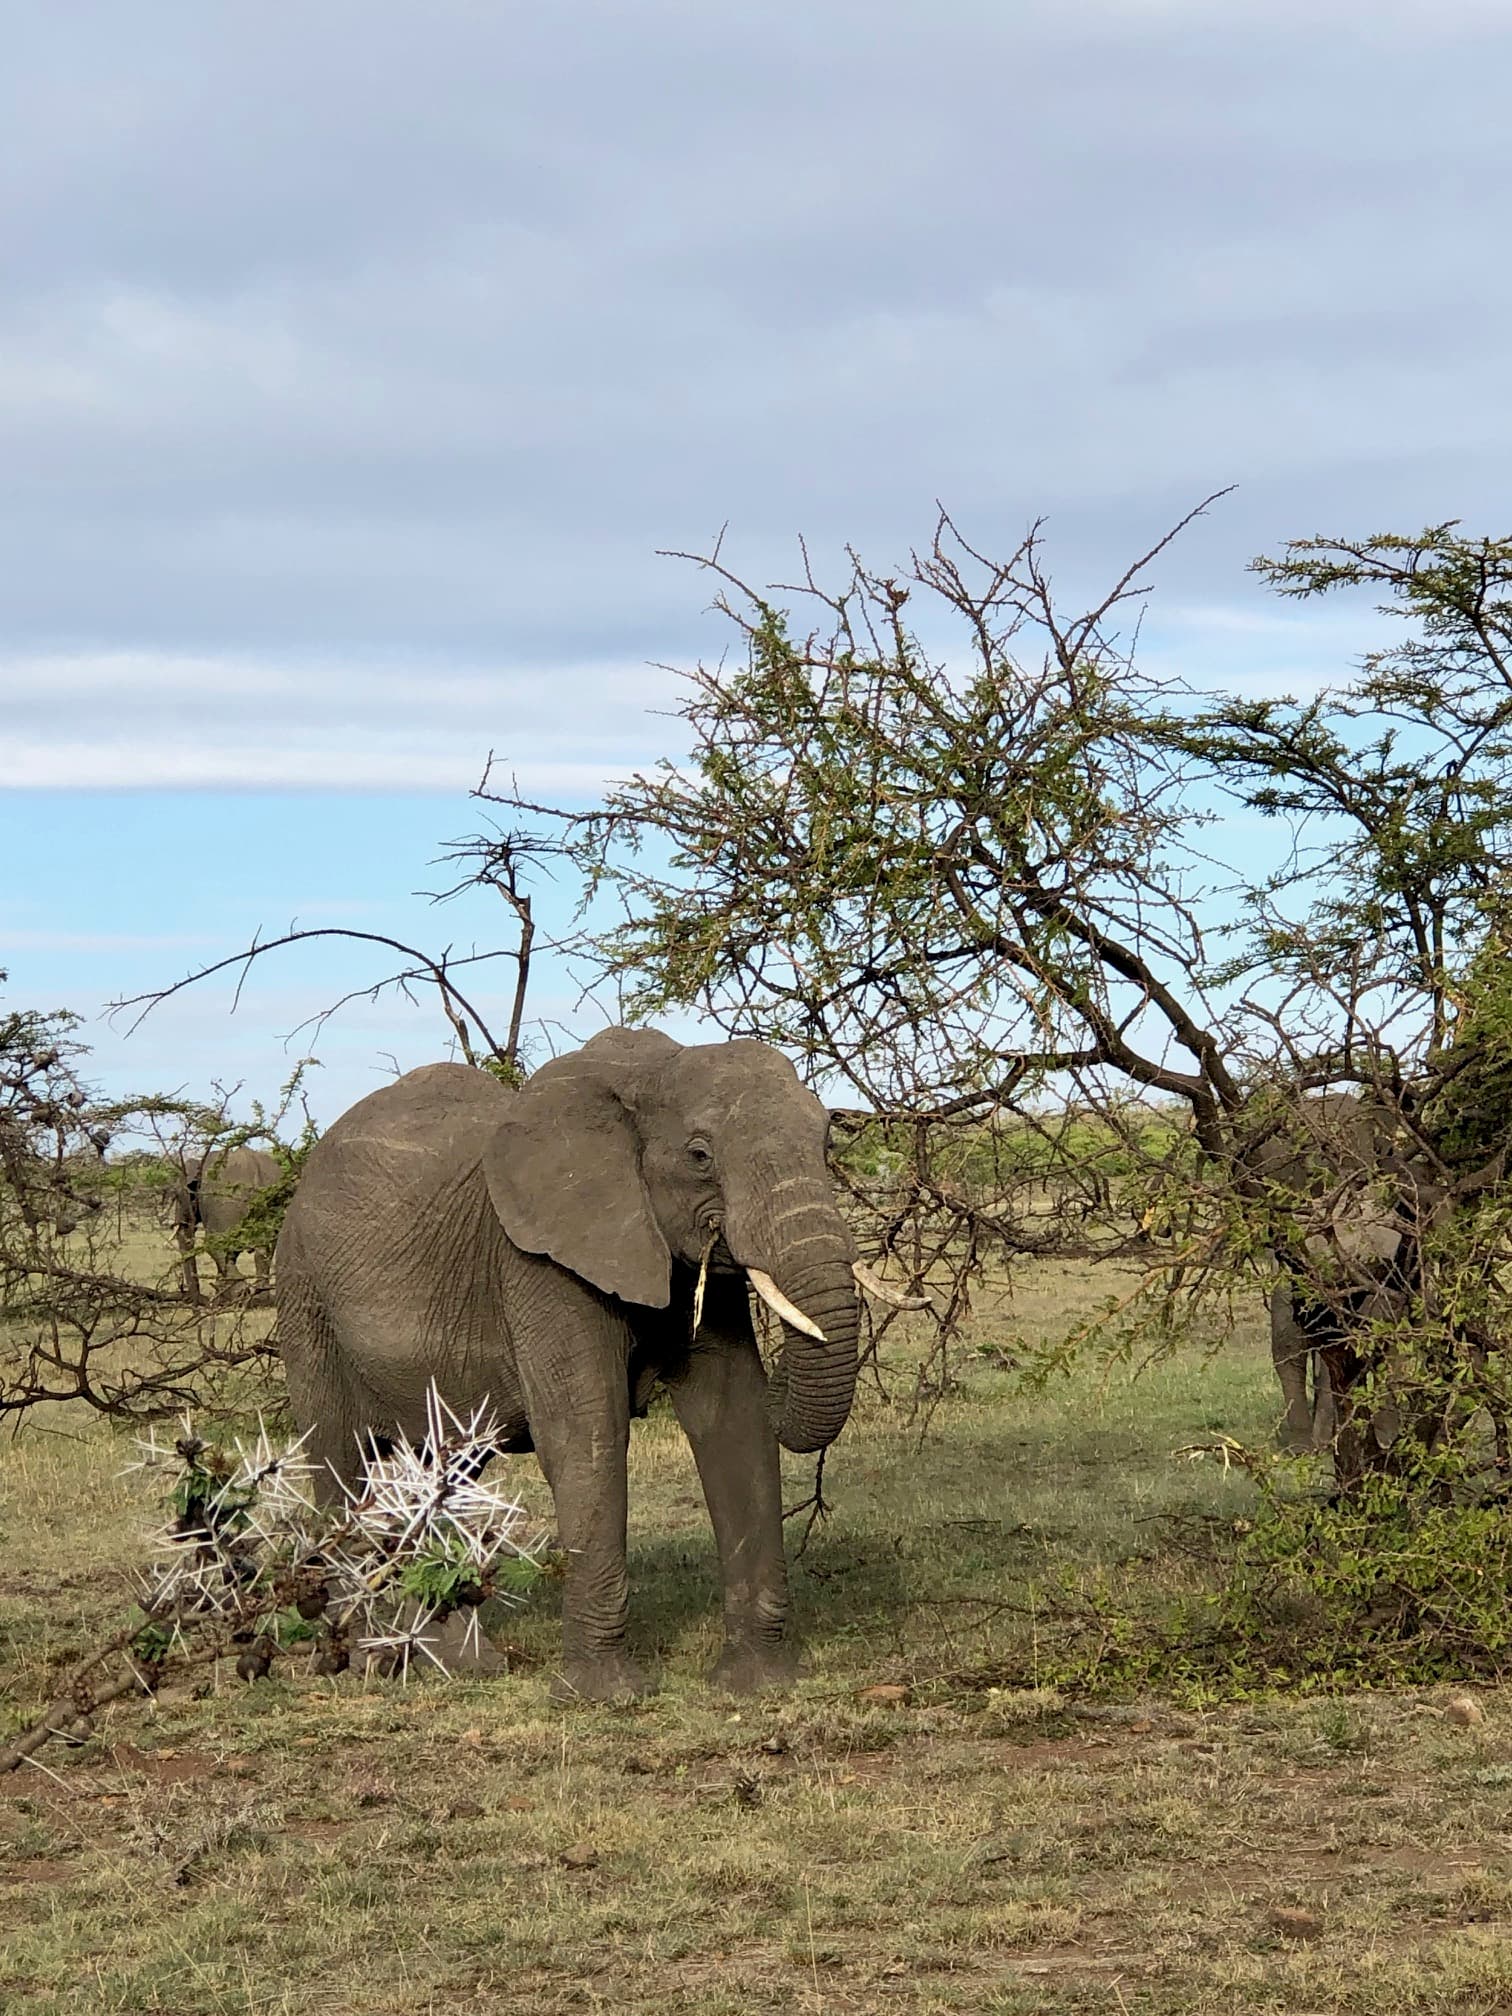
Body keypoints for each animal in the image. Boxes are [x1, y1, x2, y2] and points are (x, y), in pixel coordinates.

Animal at [170, 1143, 283, 1300]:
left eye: (176, 1195)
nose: (199, 1301)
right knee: (265, 1249)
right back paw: (260, 1296)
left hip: (227, 1204)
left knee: (214, 1244)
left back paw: (240, 1292)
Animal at [274, 1027, 864, 1702]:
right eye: (699, 1156)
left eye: (826, 1141)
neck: (650, 1072)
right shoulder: (539, 1266)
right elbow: (586, 1435)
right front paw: (608, 1698)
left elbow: (733, 1419)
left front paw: (757, 1684)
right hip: (303, 1296)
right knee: (340, 1462)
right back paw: (360, 1663)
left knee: (442, 1475)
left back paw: (456, 1666)